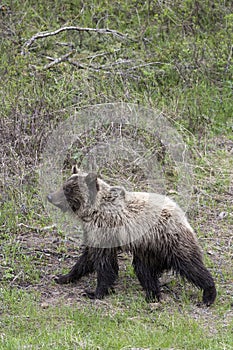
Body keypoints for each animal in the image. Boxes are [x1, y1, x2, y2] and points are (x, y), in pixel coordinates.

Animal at [47, 165, 217, 304]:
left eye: (68, 189)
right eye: (64, 185)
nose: (50, 196)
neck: (94, 211)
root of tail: (181, 214)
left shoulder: (105, 230)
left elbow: (105, 265)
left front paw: (95, 292)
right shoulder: (94, 233)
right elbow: (87, 258)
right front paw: (64, 277)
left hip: (169, 239)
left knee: (190, 264)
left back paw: (208, 293)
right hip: (148, 249)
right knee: (144, 270)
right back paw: (152, 295)